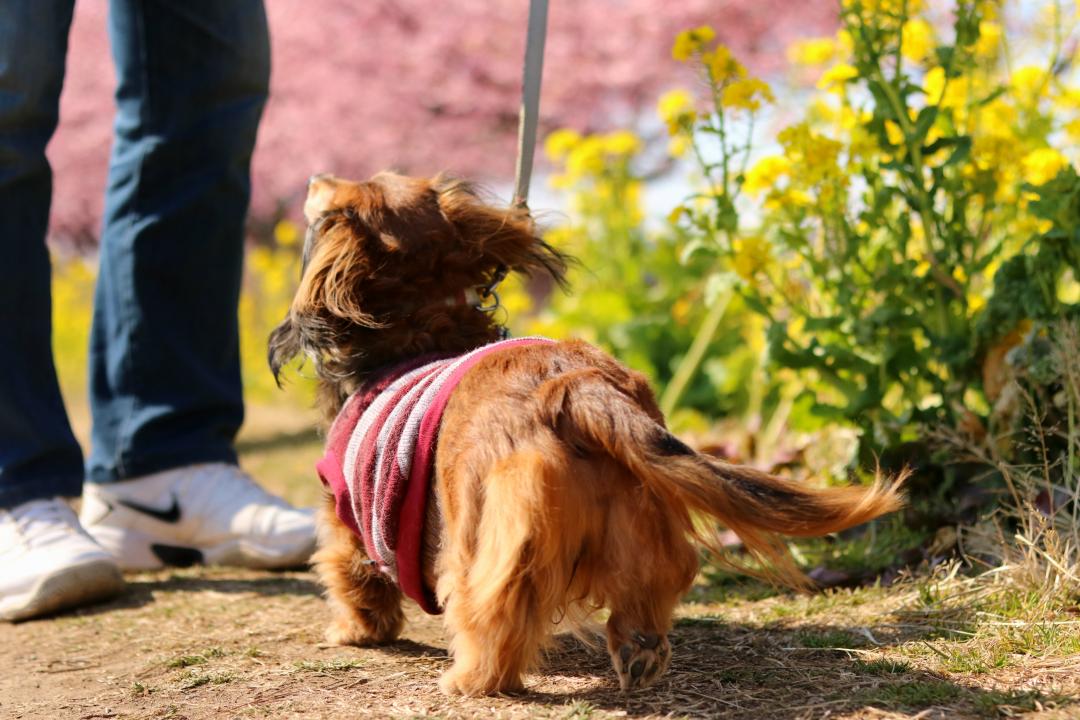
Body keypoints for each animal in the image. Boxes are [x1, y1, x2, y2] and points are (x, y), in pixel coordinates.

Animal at [270, 171, 902, 695]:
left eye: (346, 190)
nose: (316, 175)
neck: (419, 324)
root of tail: (570, 385)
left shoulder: (345, 506)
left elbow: (351, 572)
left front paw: (357, 631)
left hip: (481, 531)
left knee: (491, 608)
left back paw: (473, 678)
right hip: (641, 510)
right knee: (651, 585)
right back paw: (640, 650)